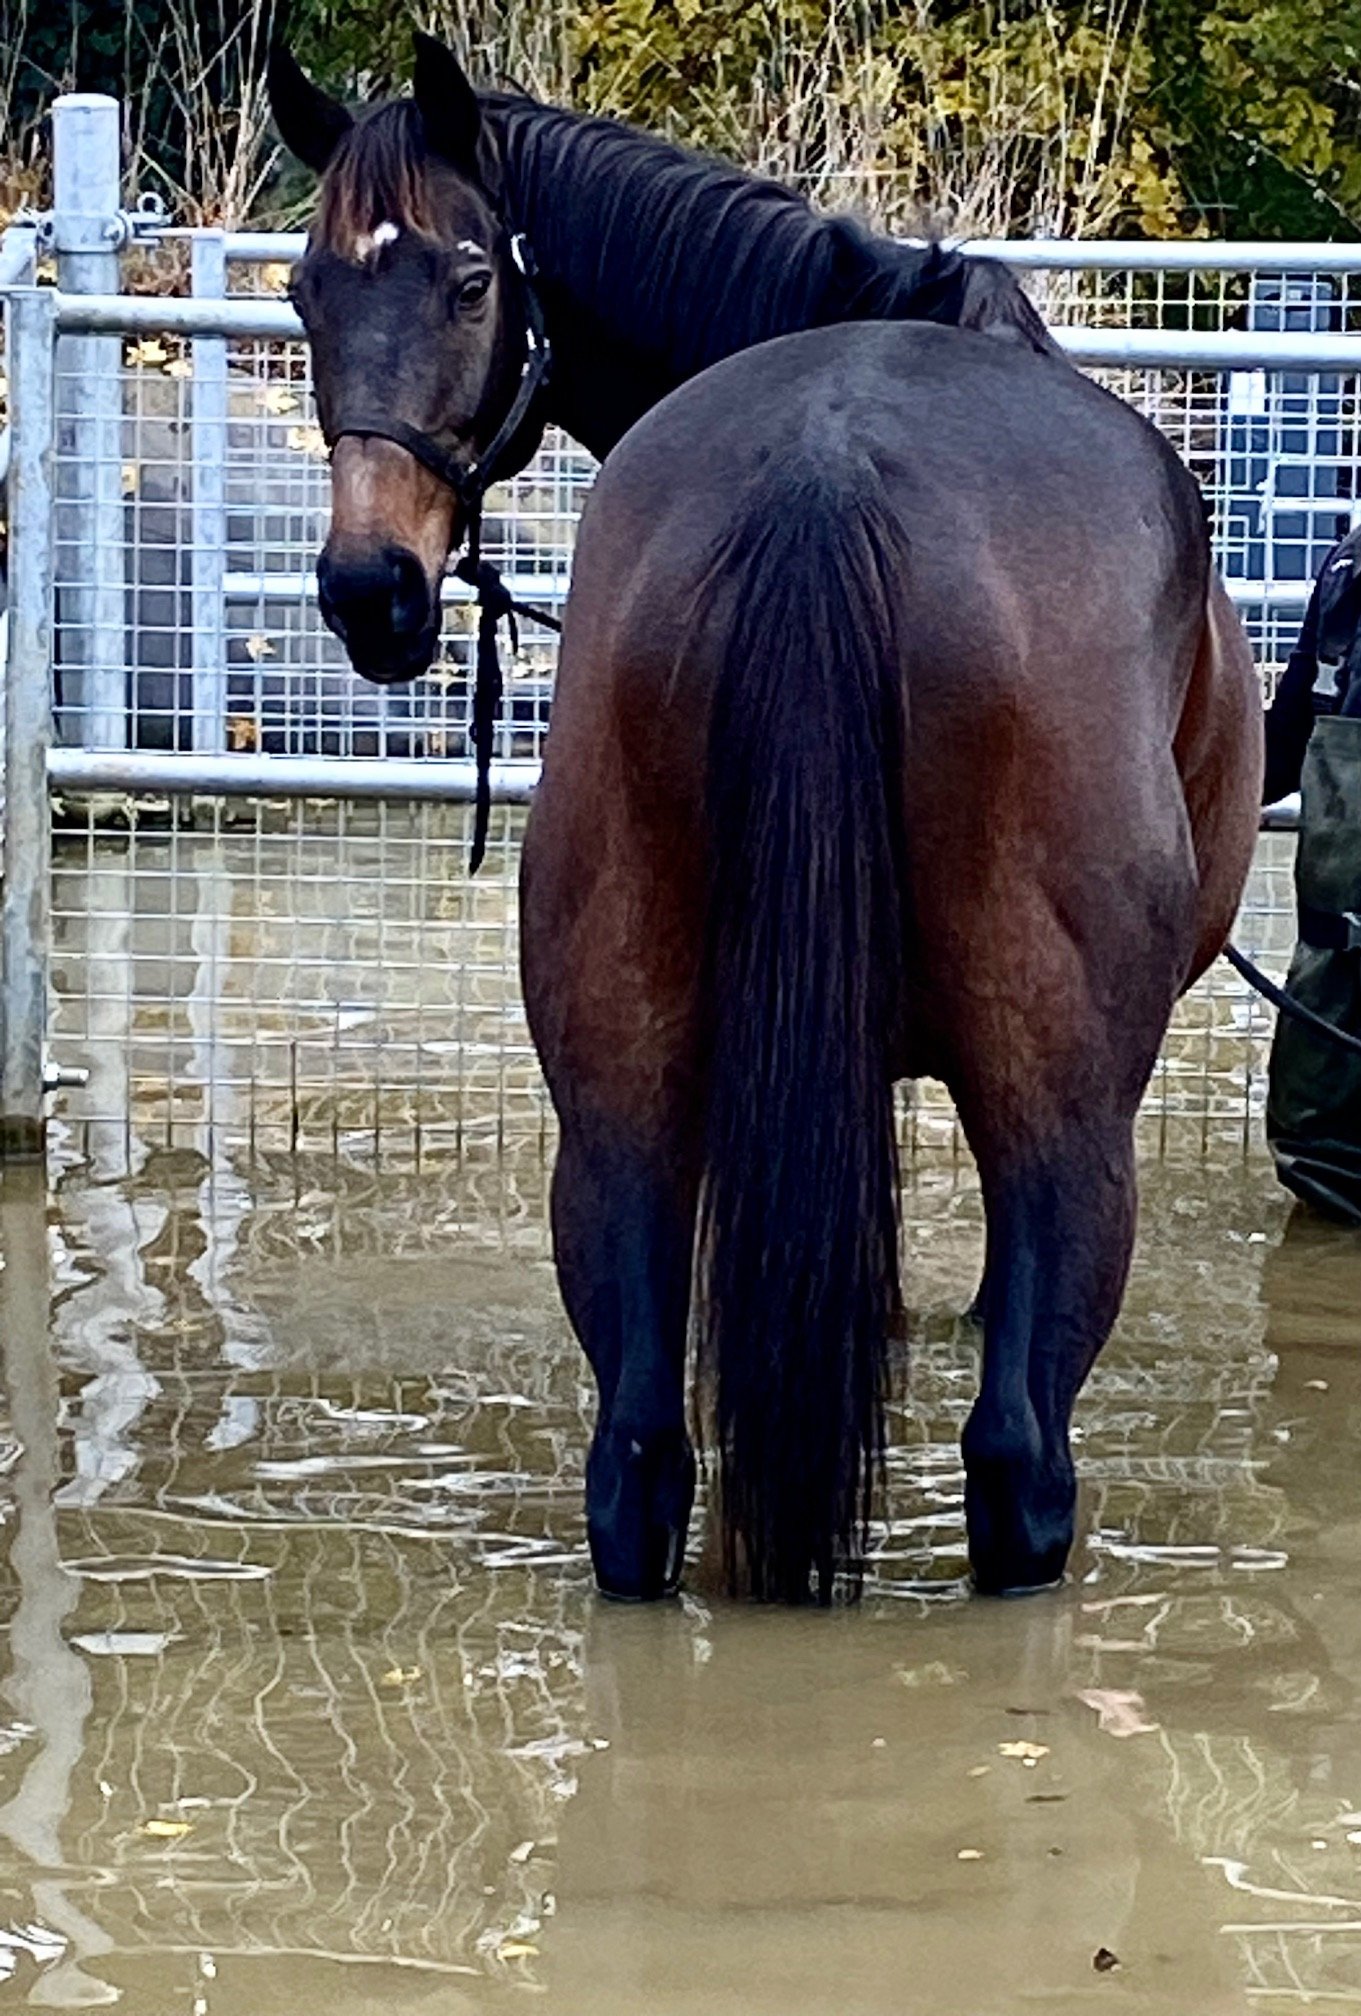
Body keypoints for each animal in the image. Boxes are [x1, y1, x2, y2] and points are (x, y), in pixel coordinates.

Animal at [269, 35, 1264, 1604]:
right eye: (310, 290)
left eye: (470, 281)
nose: (371, 589)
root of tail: (826, 471)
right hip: (1067, 1121)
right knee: (1019, 1460)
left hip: (614, 1096)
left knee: (636, 1459)